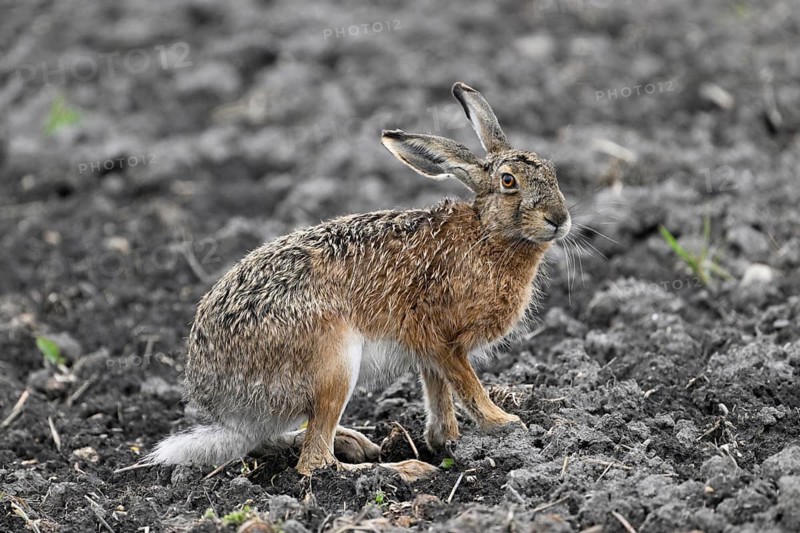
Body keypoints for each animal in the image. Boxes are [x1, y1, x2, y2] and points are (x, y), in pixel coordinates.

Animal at [148, 82, 571, 481]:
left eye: (553, 173)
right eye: (508, 181)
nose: (559, 219)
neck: (487, 233)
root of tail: (217, 395)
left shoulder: (429, 350)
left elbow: (437, 389)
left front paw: (444, 438)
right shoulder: (442, 338)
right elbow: (466, 383)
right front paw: (505, 423)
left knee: (274, 441)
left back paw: (356, 443)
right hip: (333, 364)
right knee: (314, 462)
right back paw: (403, 469)